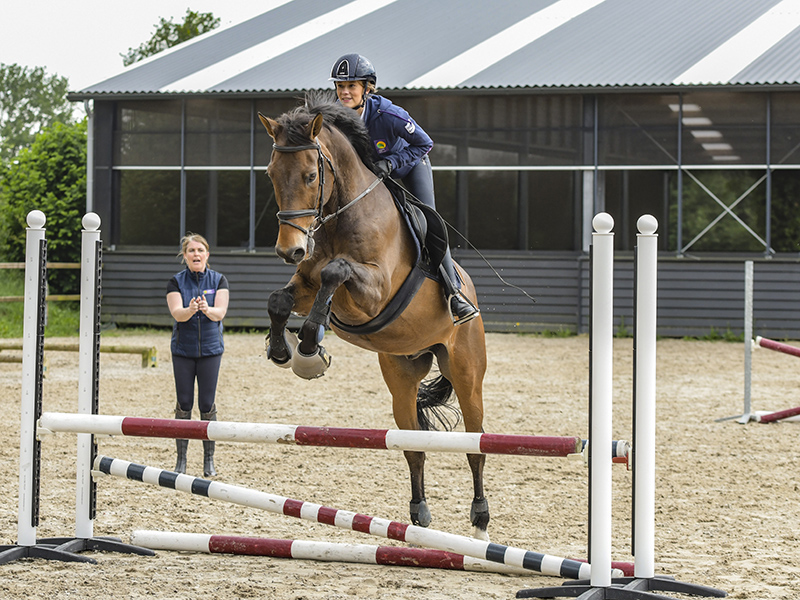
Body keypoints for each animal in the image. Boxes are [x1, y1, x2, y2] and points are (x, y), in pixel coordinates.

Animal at [258, 94, 489, 540]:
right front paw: (283, 350)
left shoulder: (375, 290)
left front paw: (310, 346)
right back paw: (419, 515)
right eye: (271, 175)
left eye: (311, 175)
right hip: (402, 377)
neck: (339, 214)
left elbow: (335, 273)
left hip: (467, 374)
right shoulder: (305, 282)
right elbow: (280, 299)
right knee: (414, 446)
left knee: (476, 445)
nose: (289, 250)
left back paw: (481, 517)